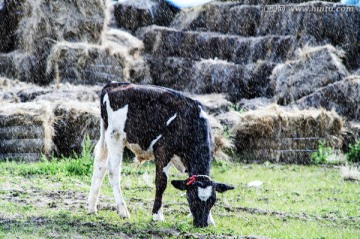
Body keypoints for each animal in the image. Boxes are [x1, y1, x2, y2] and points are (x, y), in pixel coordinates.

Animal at [87, 81, 233, 227]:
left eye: (213, 200)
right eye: (192, 198)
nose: (201, 223)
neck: (189, 121)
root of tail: (114, 84)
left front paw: (211, 219)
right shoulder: (163, 150)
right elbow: (161, 182)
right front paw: (157, 215)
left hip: (105, 134)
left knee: (100, 164)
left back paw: (92, 208)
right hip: (115, 137)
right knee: (113, 170)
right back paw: (123, 210)